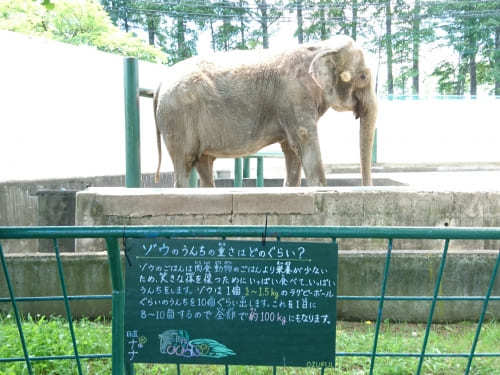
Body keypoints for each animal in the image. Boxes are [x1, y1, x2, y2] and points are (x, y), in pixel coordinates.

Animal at [152, 34, 376, 187]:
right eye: (363, 76)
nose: (365, 188)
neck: (324, 45)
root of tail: (160, 83)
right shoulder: (294, 95)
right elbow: (304, 139)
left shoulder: (291, 104)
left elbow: (291, 149)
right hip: (177, 117)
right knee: (185, 161)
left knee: (204, 163)